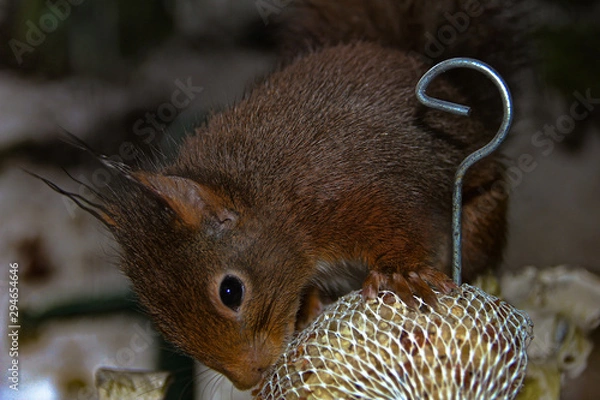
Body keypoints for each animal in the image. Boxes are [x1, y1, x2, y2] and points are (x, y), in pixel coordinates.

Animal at [50, 0, 528, 392]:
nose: (248, 380)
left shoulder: (360, 194)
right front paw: (308, 310)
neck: (273, 196)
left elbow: (401, 226)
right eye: (158, 319)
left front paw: (400, 273)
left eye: (230, 292)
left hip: (477, 216)